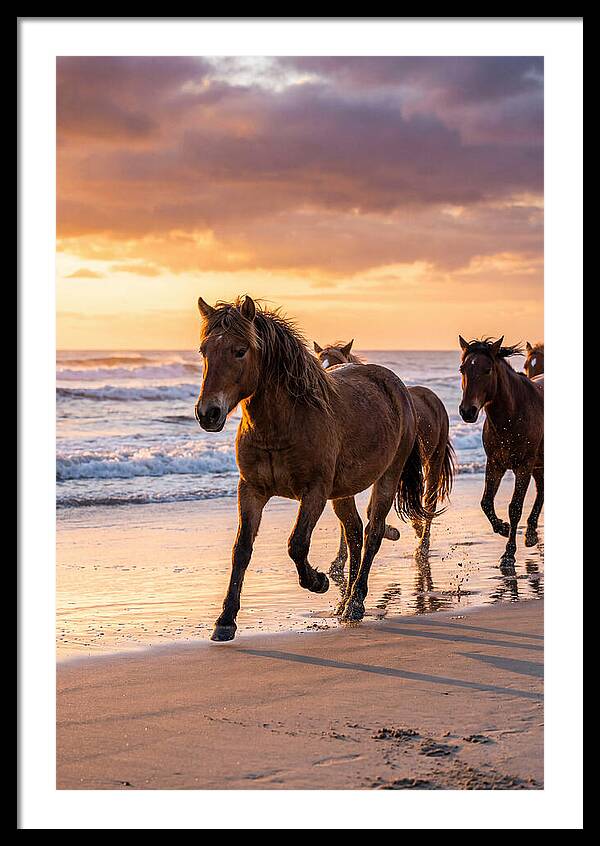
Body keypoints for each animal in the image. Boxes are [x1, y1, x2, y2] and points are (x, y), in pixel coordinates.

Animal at [195, 295, 431, 640]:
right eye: (204, 351)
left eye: (240, 350)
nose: (207, 413)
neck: (284, 423)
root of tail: (399, 388)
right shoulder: (251, 490)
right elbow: (242, 550)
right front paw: (225, 621)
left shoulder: (314, 492)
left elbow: (296, 544)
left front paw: (318, 582)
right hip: (342, 492)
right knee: (354, 533)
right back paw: (345, 602)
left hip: (387, 478)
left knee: (372, 533)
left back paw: (355, 603)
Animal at [314, 340, 455, 560]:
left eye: (337, 361)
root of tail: (432, 397)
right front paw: (339, 560)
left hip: (434, 461)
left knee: (429, 502)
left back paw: (422, 546)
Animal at [458, 336, 544, 564]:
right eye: (462, 369)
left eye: (487, 369)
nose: (467, 411)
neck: (512, 414)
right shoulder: (495, 464)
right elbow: (486, 502)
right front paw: (503, 528)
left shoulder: (524, 466)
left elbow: (514, 508)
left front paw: (508, 553)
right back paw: (531, 533)